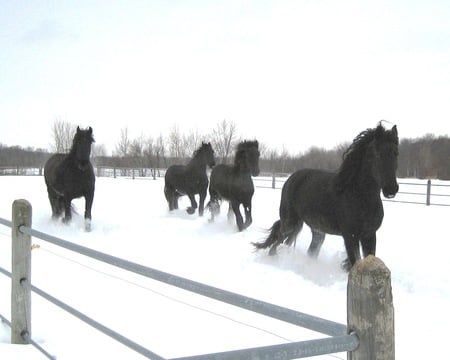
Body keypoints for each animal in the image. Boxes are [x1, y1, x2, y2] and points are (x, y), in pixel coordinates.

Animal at [255, 124, 400, 270]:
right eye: (377, 153)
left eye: (396, 153)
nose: (391, 189)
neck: (360, 197)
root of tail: (291, 179)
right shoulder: (350, 236)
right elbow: (354, 262)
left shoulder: (369, 235)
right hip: (290, 223)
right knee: (275, 245)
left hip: (317, 231)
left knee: (306, 250)